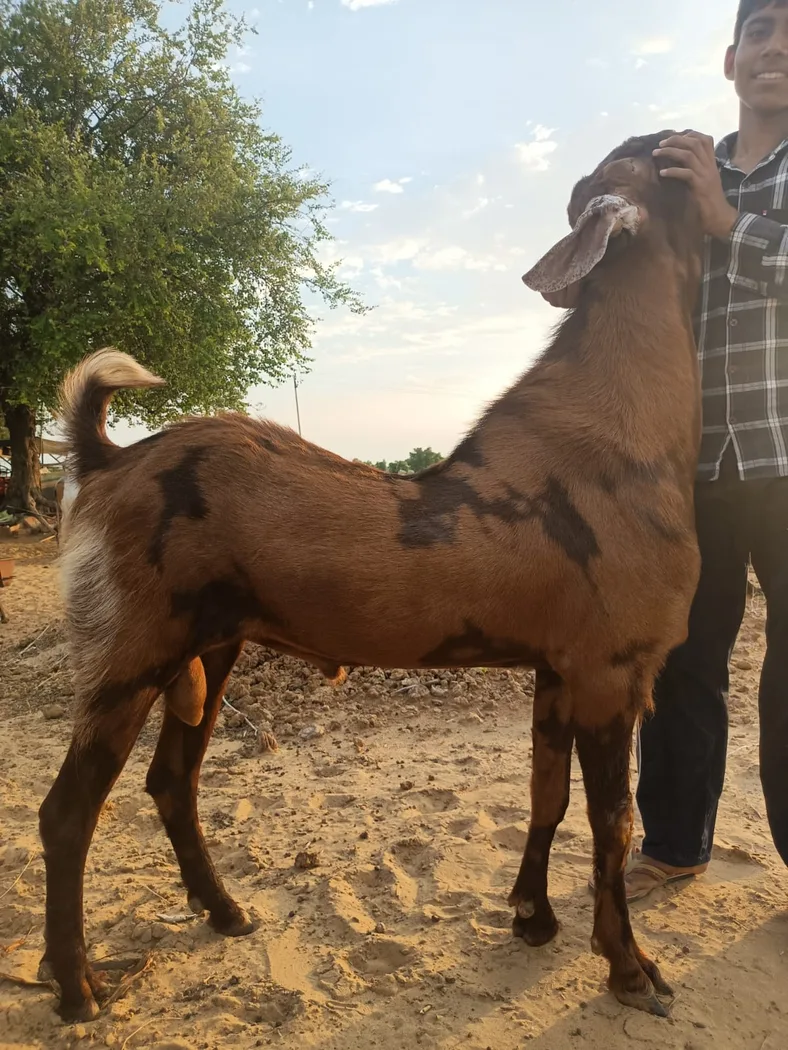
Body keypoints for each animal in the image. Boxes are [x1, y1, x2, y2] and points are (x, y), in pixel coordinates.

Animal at [39, 130, 704, 1023]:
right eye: (670, 153)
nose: (714, 148)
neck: (619, 426)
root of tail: (106, 458)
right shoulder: (612, 672)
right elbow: (612, 824)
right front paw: (630, 968)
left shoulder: (559, 669)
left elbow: (547, 796)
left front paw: (532, 918)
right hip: (129, 655)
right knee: (68, 815)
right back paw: (77, 984)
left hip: (210, 648)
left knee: (171, 782)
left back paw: (223, 911)